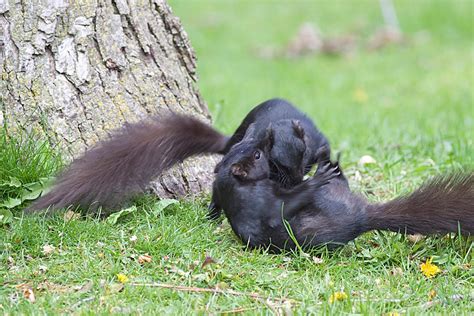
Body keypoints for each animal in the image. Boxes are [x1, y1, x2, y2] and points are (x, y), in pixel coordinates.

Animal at [209, 126, 472, 252]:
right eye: (257, 155)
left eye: (246, 147)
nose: (266, 135)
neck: (238, 190)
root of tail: (362, 217)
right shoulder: (262, 204)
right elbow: (287, 203)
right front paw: (314, 180)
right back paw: (326, 167)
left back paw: (327, 158)